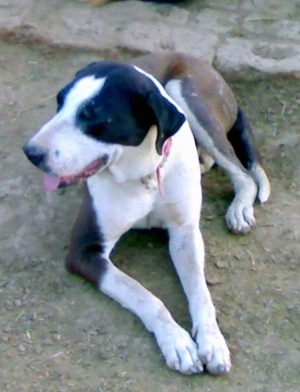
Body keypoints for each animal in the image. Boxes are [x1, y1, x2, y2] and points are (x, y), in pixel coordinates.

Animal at [22, 52, 270, 374]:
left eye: (92, 115)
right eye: (59, 102)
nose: (31, 153)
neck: (143, 175)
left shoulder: (185, 234)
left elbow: (201, 293)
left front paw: (212, 340)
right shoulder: (85, 251)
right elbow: (143, 295)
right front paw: (177, 342)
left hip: (191, 99)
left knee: (242, 173)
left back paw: (239, 208)